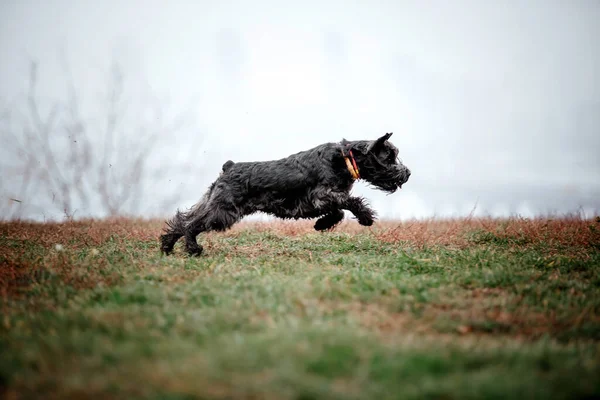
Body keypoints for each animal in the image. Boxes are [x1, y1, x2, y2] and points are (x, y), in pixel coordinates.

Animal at [162, 132, 410, 256]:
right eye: (389, 156)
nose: (407, 173)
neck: (345, 158)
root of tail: (229, 167)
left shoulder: (321, 201)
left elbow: (338, 212)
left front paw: (321, 224)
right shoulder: (322, 195)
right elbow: (350, 202)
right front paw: (366, 217)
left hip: (213, 204)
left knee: (182, 220)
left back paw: (167, 246)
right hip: (223, 212)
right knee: (191, 225)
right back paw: (193, 249)